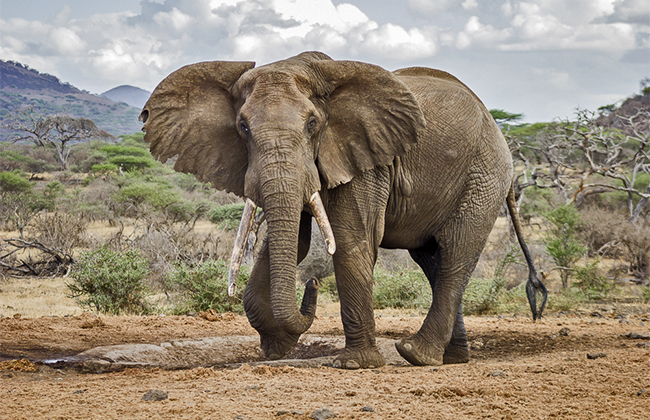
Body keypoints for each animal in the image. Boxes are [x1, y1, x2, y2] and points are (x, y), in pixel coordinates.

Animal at [139, 51, 544, 368]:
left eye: (312, 124)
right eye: (242, 126)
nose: (312, 284)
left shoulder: (367, 159)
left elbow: (351, 240)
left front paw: (355, 364)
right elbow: (292, 242)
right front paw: (276, 348)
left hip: (483, 177)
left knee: (457, 253)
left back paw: (416, 354)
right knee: (434, 260)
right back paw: (452, 358)